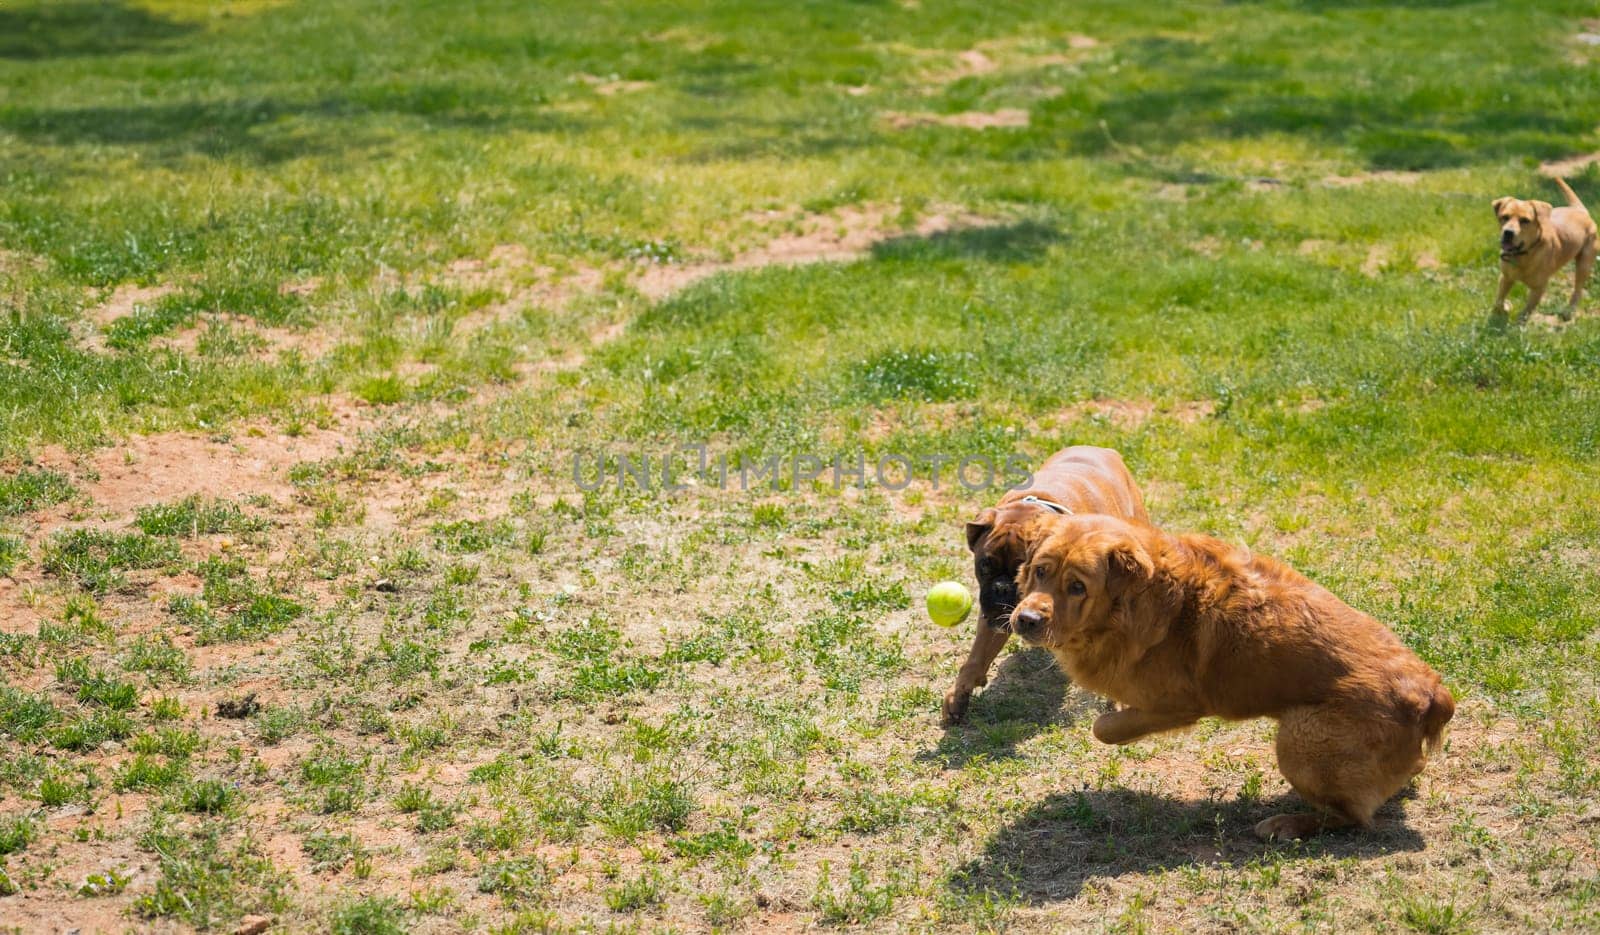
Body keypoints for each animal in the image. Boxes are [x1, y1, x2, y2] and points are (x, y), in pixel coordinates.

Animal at [934, 448, 1152, 726]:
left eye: (1022, 568)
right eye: (984, 565)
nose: (1002, 587)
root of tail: (1105, 450)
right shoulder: (994, 618)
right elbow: (976, 657)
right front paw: (959, 696)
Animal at [1017, 512, 1459, 838]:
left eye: (1077, 587)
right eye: (1040, 571)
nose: (1025, 619)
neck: (1144, 600)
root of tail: (1431, 694)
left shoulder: (1177, 705)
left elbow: (1104, 728)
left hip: (1300, 736)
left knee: (1351, 817)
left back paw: (1287, 823)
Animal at [1491, 176, 1593, 323]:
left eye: (1525, 220)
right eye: (1505, 217)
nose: (1508, 232)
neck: (1523, 255)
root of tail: (1580, 210)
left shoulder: (1538, 289)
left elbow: (1526, 311)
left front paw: (1518, 323)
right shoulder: (1506, 277)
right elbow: (1499, 300)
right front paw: (1504, 308)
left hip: (1584, 264)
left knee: (1578, 290)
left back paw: (1568, 311)